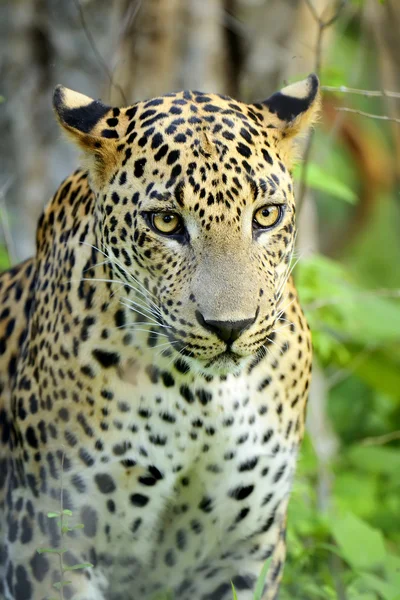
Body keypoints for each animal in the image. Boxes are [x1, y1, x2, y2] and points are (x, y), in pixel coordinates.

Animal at [0, 74, 318, 600]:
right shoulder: (52, 544)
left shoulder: (246, 552)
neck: (200, 396)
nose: (230, 327)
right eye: (166, 222)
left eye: (267, 215)